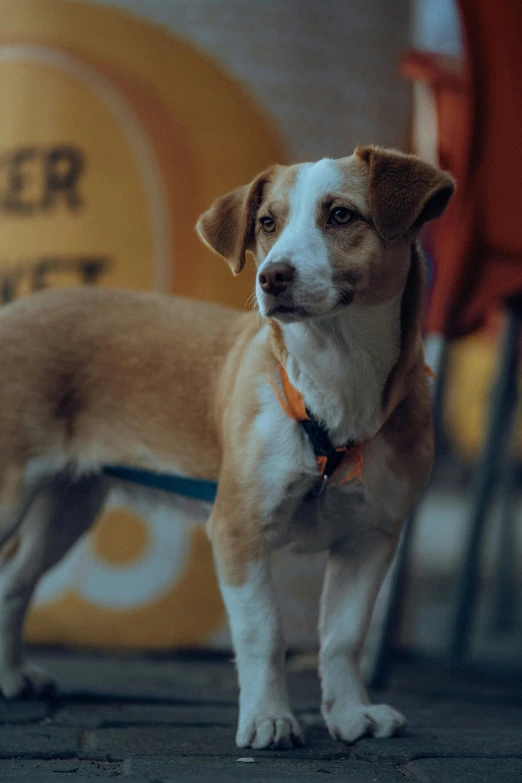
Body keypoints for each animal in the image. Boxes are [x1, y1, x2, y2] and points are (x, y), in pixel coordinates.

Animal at [0, 144, 450, 752]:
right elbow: (264, 632)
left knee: (13, 584)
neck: (334, 387)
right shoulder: (238, 529)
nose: (271, 276)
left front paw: (350, 713)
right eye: (267, 223)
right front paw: (268, 718)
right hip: (12, 495)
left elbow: (342, 636)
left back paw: (12, 677)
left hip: (68, 505)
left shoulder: (372, 537)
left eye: (341, 215)